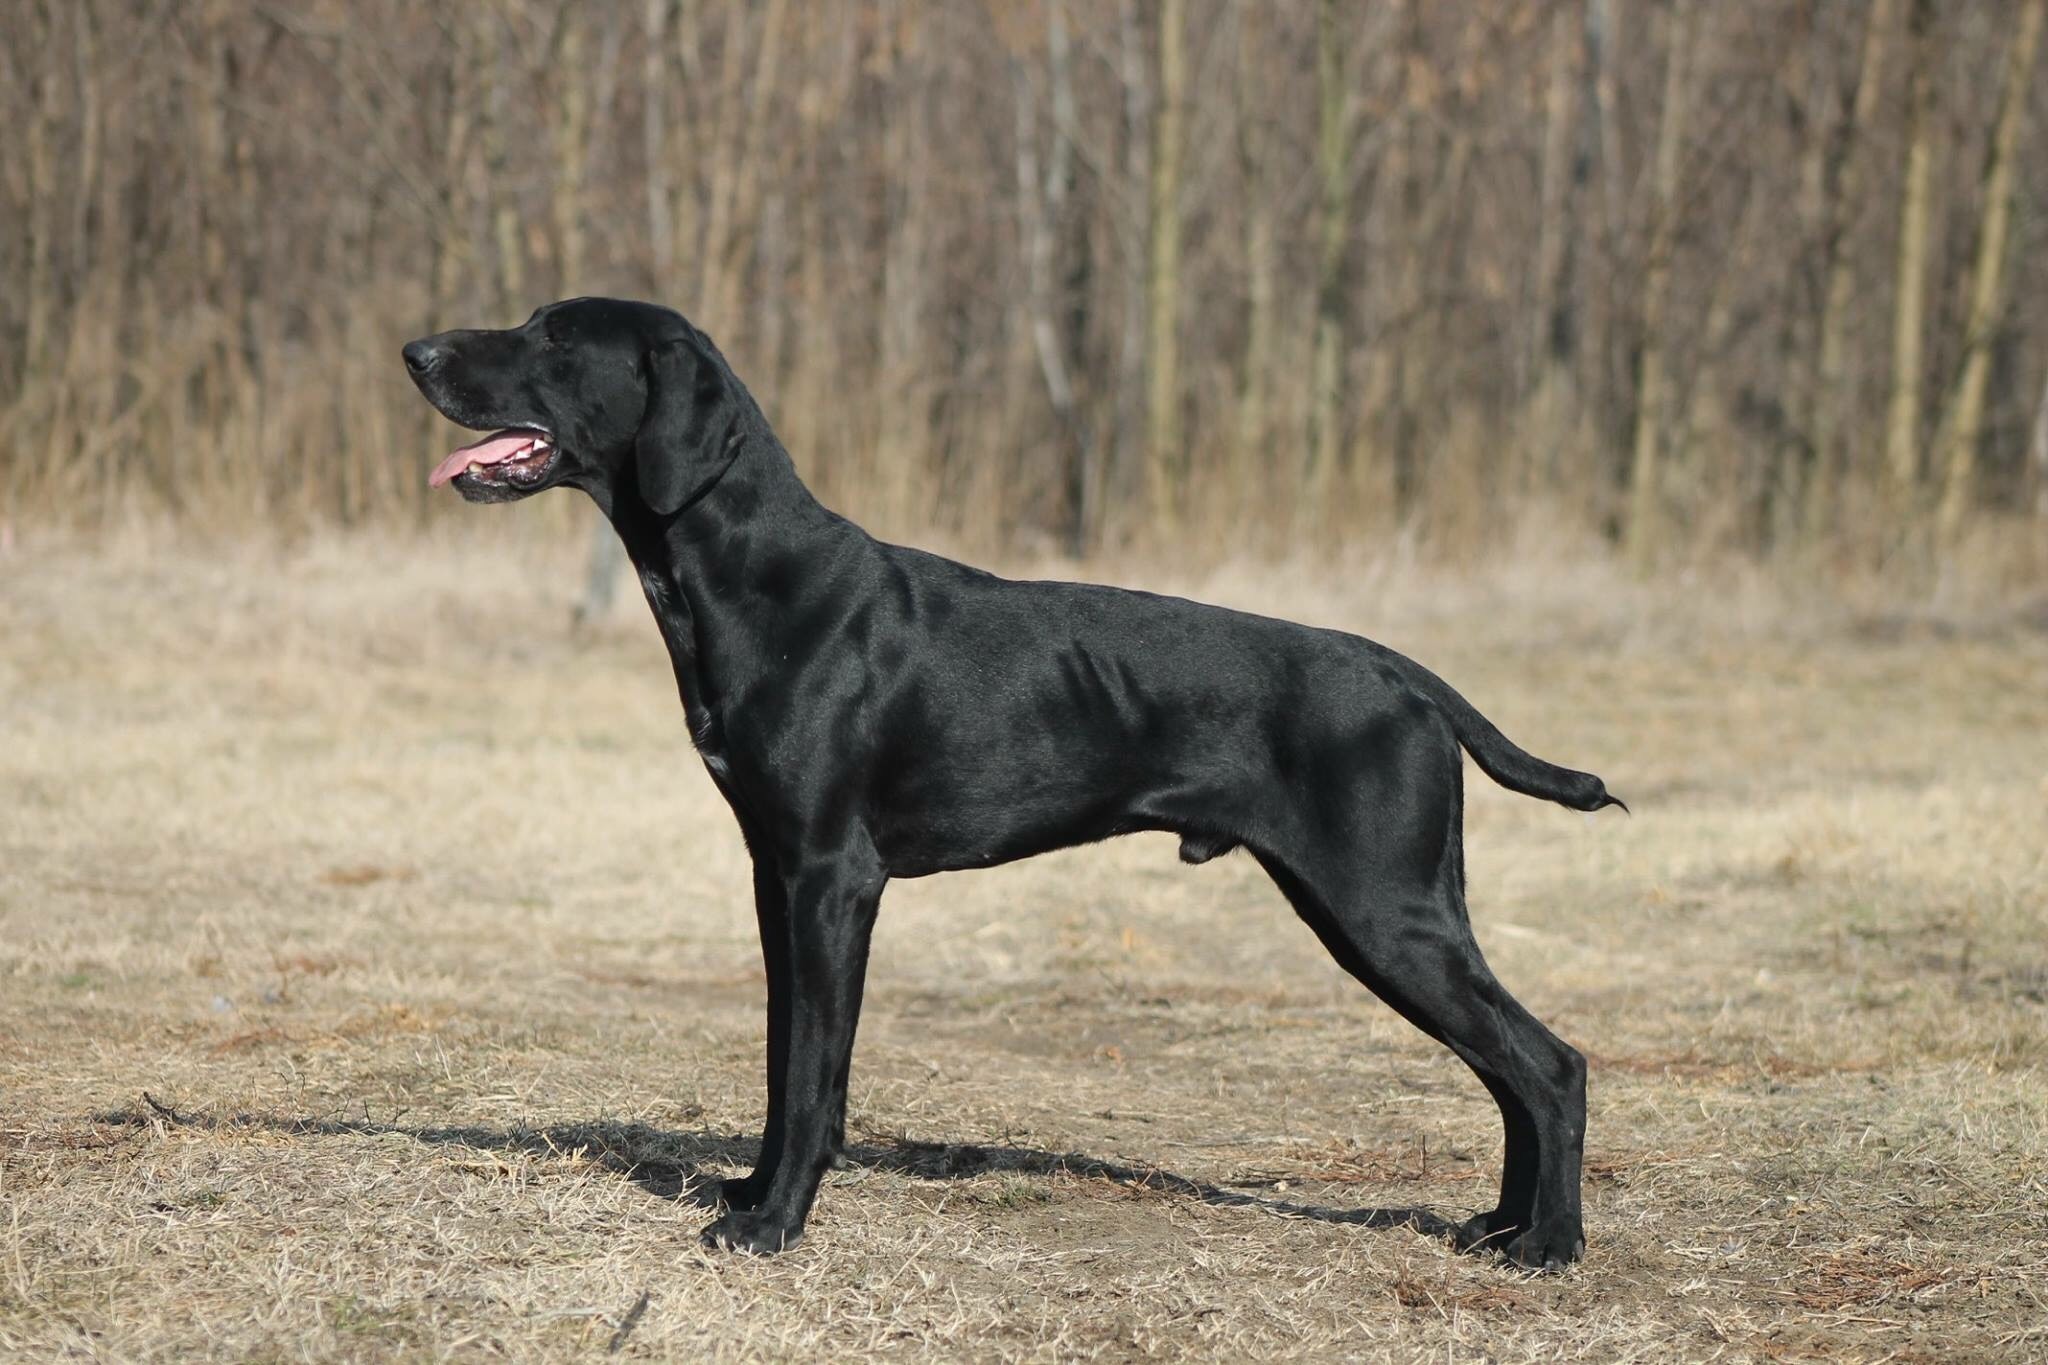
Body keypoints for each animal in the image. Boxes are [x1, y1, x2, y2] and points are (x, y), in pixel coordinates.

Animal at [402, 297, 1623, 1267]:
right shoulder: (774, 875)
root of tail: (1404, 673)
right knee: (1511, 1070)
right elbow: (786, 1058)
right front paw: (752, 1190)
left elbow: (812, 1069)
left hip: (1381, 908)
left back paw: (1551, 1244)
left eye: (554, 338)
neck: (760, 581)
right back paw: (1501, 1225)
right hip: (1393, 914)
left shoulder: (832, 879)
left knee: (1549, 1065)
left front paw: (774, 1223)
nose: (416, 350)